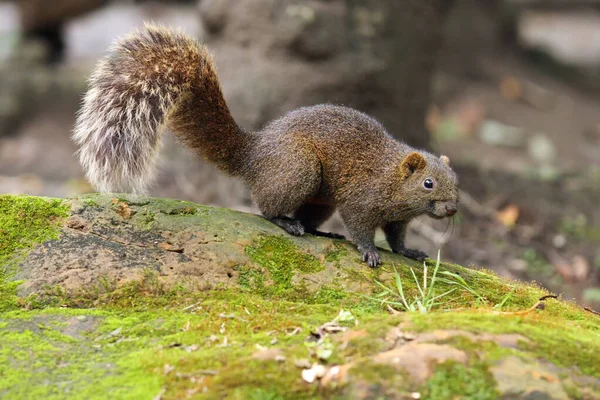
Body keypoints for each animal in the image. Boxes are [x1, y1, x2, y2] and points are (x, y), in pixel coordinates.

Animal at [74, 25, 460, 268]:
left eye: (456, 181)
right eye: (428, 183)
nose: (453, 208)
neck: (392, 177)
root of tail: (254, 155)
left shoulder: (398, 218)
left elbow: (396, 237)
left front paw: (409, 251)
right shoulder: (361, 199)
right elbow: (361, 227)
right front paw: (369, 252)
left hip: (319, 197)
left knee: (304, 214)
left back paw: (318, 229)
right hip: (299, 169)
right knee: (265, 207)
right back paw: (288, 224)